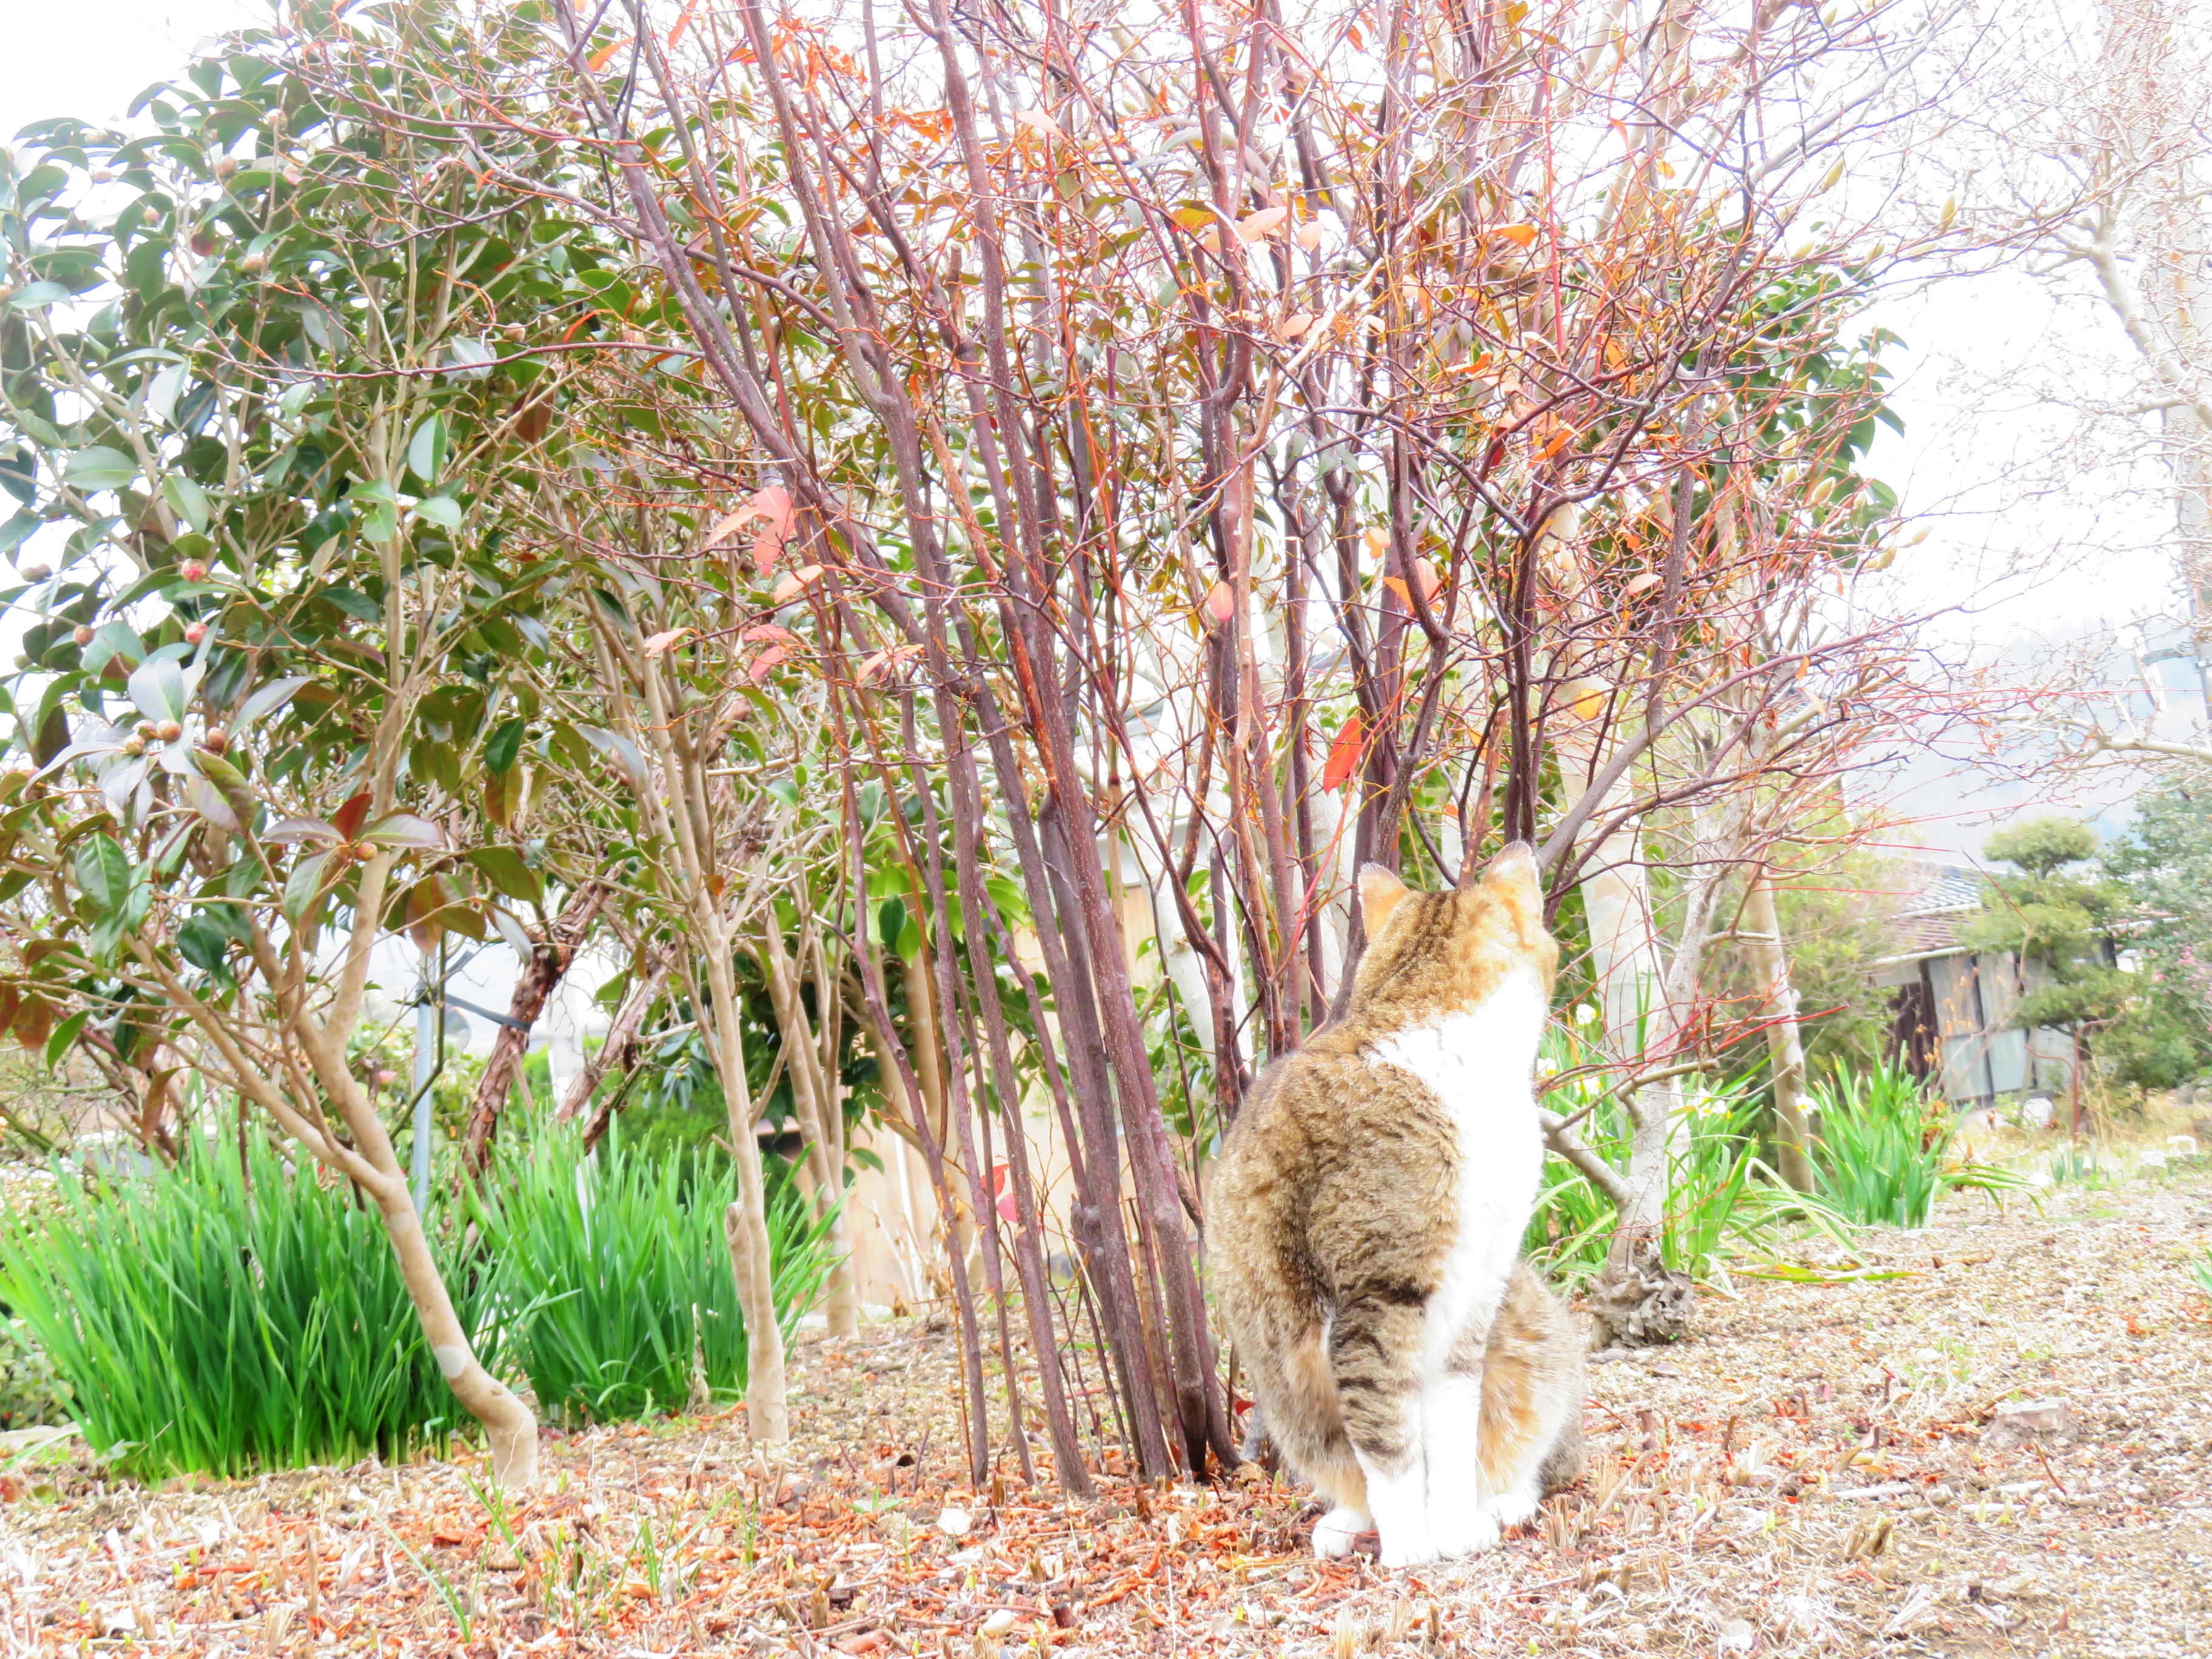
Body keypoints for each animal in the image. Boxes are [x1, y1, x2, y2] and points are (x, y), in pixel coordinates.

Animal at [1212, 849, 1575, 1566]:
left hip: (1532, 1334)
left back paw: (1504, 1503)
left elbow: (1453, 1432)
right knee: (1345, 1460)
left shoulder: (1477, 1296)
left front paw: (1456, 1528)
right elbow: (1389, 1441)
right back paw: (1351, 1524)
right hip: (1287, 1395)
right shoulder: (1376, 1298)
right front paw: (1411, 1545)